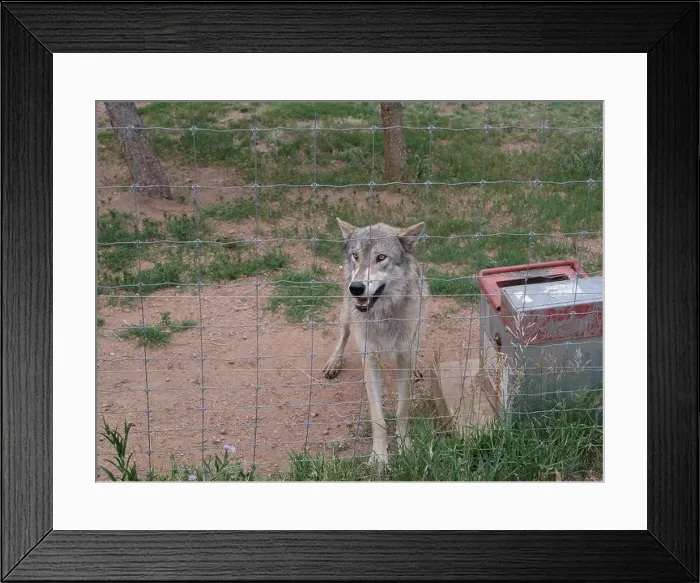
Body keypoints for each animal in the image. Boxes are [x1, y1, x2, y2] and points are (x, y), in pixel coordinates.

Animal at [322, 218, 430, 467]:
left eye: (381, 257)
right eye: (356, 256)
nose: (356, 287)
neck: (383, 316)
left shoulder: (404, 356)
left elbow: (403, 408)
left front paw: (405, 447)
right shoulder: (370, 360)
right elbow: (377, 416)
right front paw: (379, 457)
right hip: (347, 313)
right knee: (343, 334)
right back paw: (334, 362)